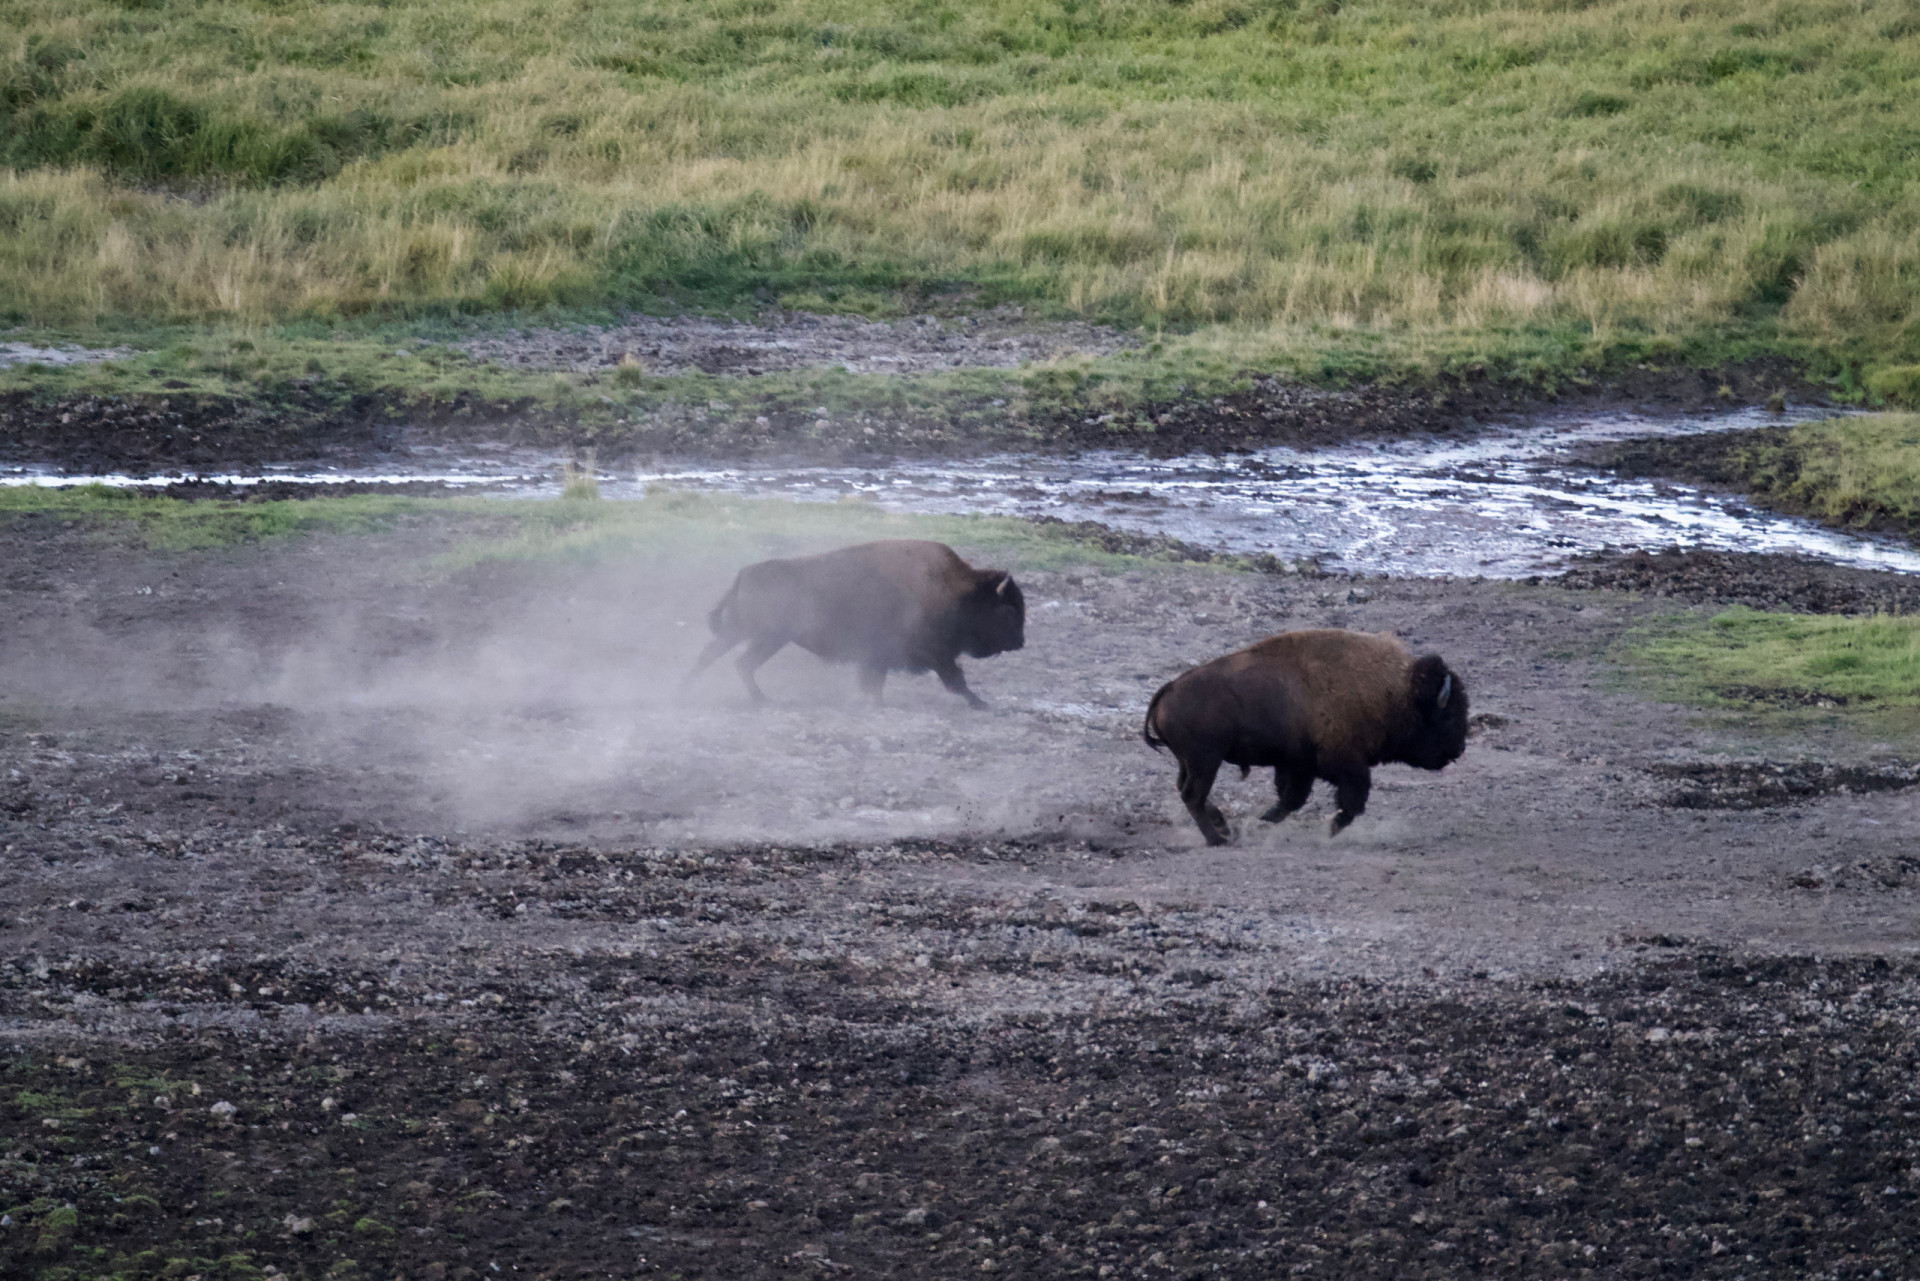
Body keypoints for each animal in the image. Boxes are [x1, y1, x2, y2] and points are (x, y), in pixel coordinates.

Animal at [687, 537, 1021, 706]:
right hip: (768, 637)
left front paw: (875, 702)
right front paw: (981, 703)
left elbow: (875, 680)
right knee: (739, 662)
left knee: (714, 656)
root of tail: (745, 574)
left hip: (746, 632)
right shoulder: (935, 653)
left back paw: (685, 691)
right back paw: (761, 700)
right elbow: (955, 680)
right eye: (1007, 611)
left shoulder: (881, 657)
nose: (1020, 642)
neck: (957, 591)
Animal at [1136, 629, 1466, 845]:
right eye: (1448, 716)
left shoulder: (1298, 764)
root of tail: (1168, 689)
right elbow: (1350, 802)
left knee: (1187, 792)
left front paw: (1265, 820)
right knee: (1193, 795)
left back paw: (1223, 827)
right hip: (1205, 761)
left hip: (1191, 762)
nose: (1459, 749)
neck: (1396, 692)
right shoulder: (1345, 764)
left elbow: (1291, 799)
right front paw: (1331, 830)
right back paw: (1218, 839)